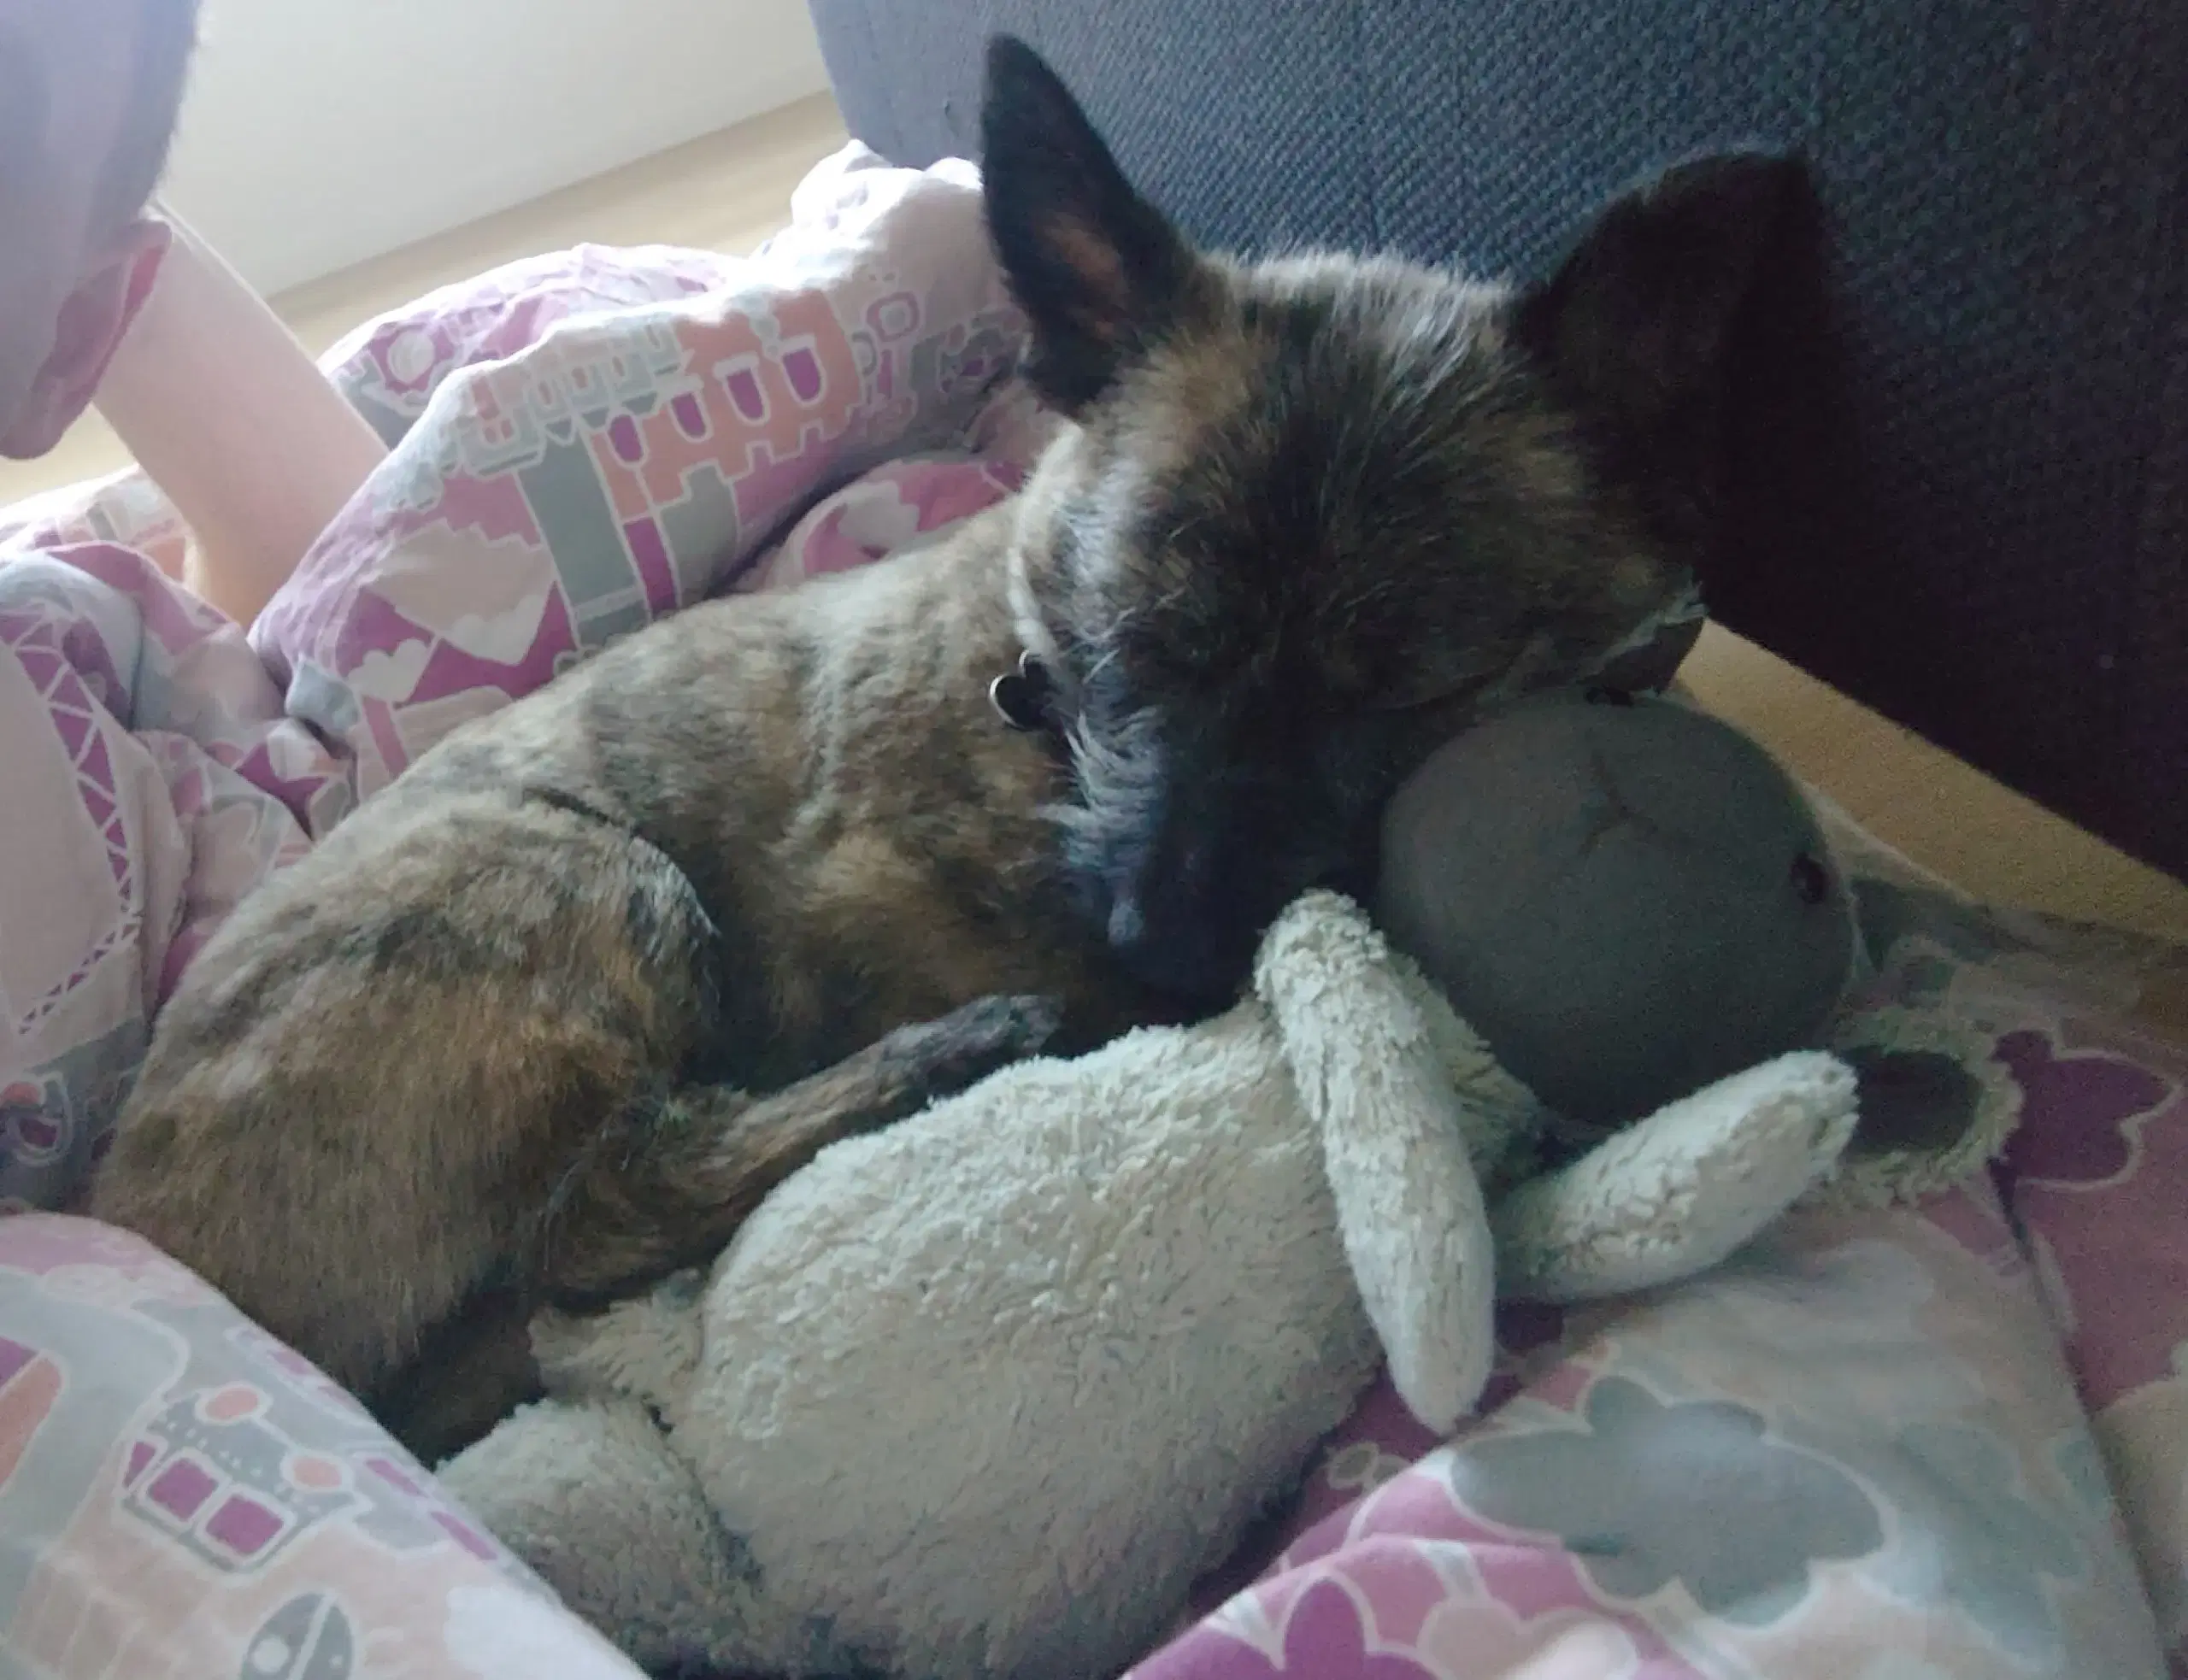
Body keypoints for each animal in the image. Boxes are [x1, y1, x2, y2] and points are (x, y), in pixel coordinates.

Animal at [89, 39, 1811, 1452]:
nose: (1166, 937)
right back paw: (938, 1062)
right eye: (1126, 646)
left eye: (1398, 700)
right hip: (578, 878)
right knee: (598, 1216)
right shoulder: (862, 909)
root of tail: (147, 1226)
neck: (1029, 711)